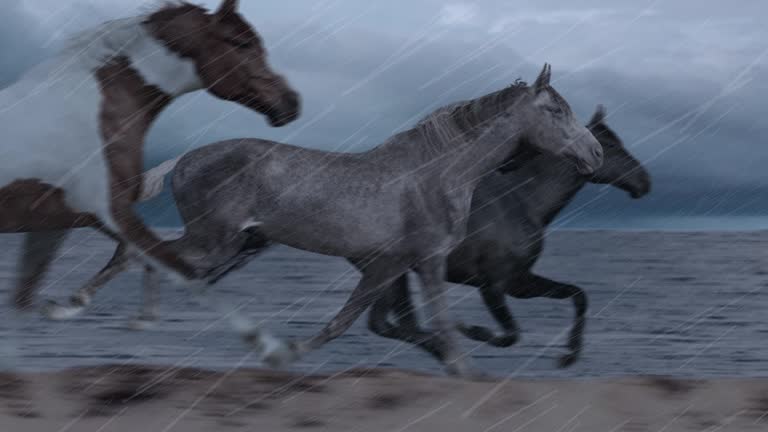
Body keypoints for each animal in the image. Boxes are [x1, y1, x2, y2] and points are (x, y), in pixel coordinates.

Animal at [42, 66, 604, 376]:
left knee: (152, 256)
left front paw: (284, 352)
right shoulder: (425, 261)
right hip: (213, 240)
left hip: (227, 244)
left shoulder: (388, 266)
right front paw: (468, 370)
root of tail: (184, 158)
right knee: (140, 253)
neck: (440, 172)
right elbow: (431, 324)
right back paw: (76, 306)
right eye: (555, 110)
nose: (595, 153)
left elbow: (349, 322)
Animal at [364, 104, 648, 368]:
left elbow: (578, 295)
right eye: (610, 145)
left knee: (387, 324)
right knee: (390, 324)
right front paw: (471, 329)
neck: (524, 201)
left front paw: (569, 356)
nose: (644, 181)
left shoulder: (519, 282)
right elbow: (511, 334)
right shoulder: (494, 285)